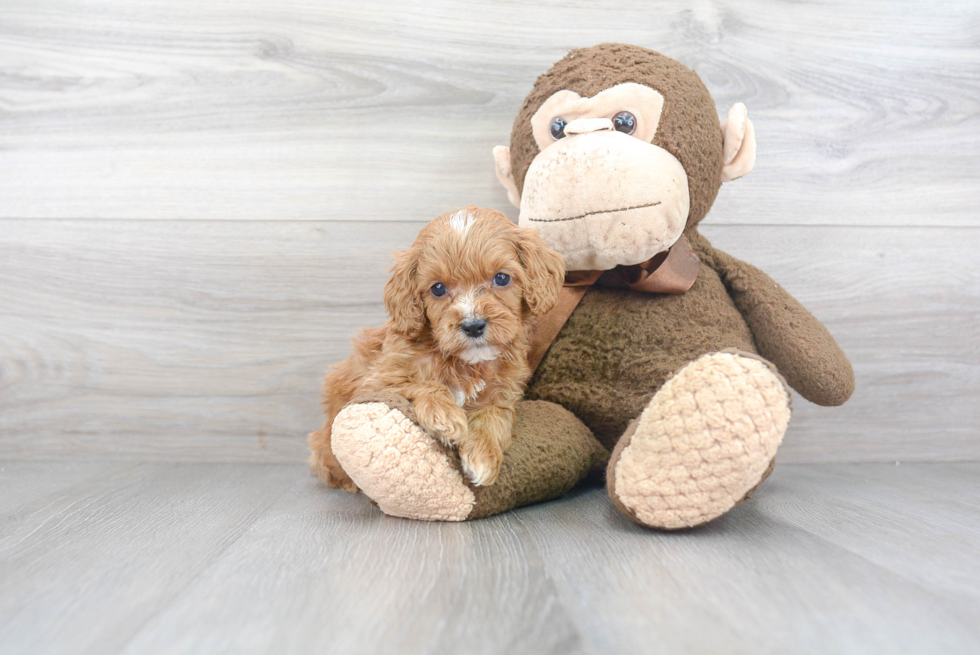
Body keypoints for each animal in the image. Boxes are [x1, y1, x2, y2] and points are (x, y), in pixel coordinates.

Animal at [306, 208, 568, 490]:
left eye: (501, 278)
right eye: (438, 288)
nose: (473, 325)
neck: (467, 363)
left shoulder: (503, 392)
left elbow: (493, 416)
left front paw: (483, 457)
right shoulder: (377, 381)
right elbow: (423, 384)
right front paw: (445, 417)